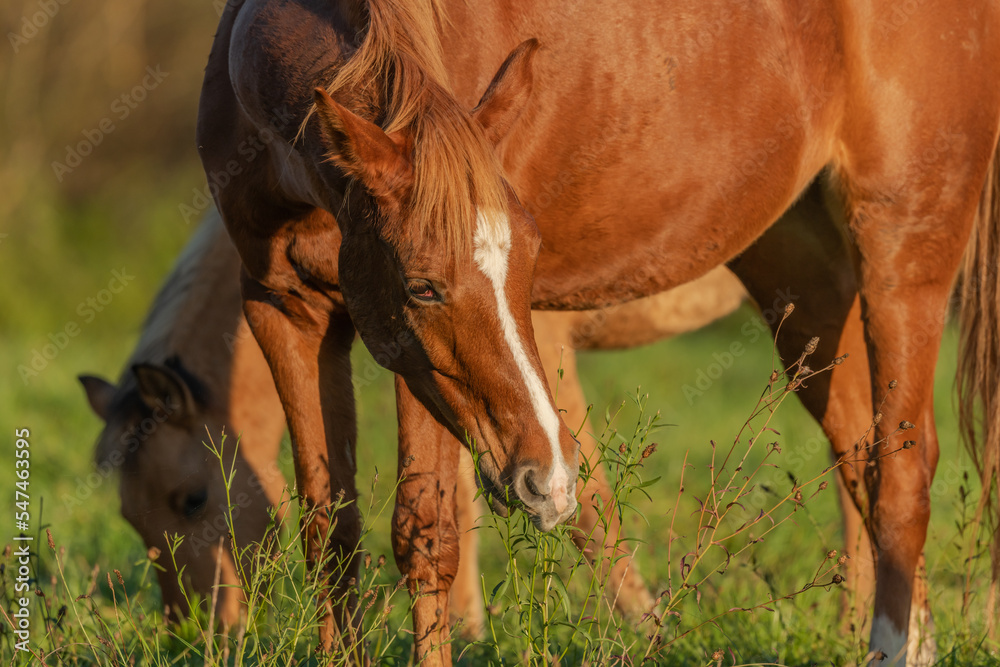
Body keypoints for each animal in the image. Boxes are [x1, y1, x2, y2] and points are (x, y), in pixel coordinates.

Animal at [81, 208, 747, 633]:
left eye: (191, 500)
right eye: (128, 515)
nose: (193, 633)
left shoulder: (541, 356)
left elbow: (590, 507)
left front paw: (649, 629)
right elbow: (464, 496)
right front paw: (470, 628)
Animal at [198, 1, 1000, 663]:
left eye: (529, 263)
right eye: (422, 285)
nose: (547, 480)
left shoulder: (411, 363)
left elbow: (426, 534)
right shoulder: (284, 311)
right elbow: (329, 534)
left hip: (903, 246)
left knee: (903, 472)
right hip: (800, 273)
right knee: (862, 454)